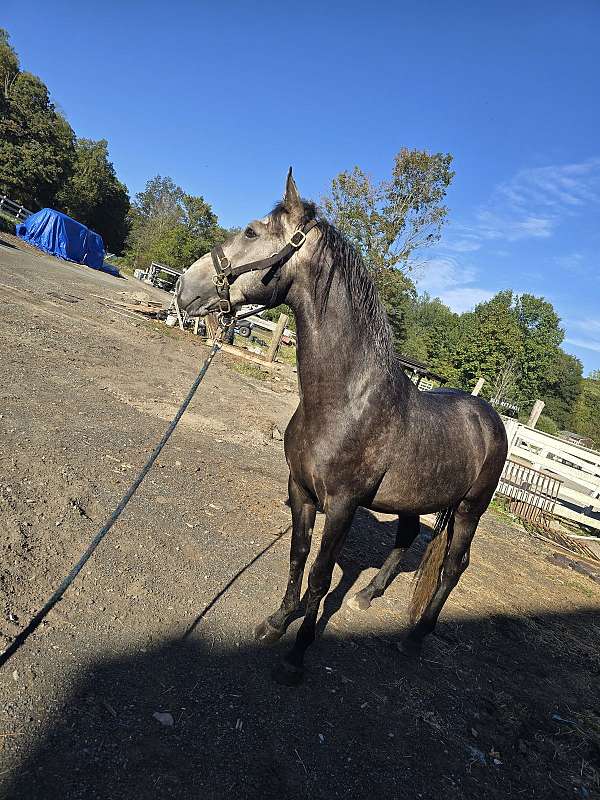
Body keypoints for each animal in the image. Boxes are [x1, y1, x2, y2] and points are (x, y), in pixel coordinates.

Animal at [177, 170, 508, 685]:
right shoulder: (300, 491)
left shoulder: (342, 507)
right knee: (407, 537)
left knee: (454, 565)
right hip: (413, 499)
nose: (184, 288)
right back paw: (368, 595)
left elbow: (320, 573)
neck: (346, 403)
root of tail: (488, 417)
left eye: (250, 232)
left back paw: (416, 636)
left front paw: (297, 654)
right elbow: (297, 556)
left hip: (471, 509)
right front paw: (278, 621)